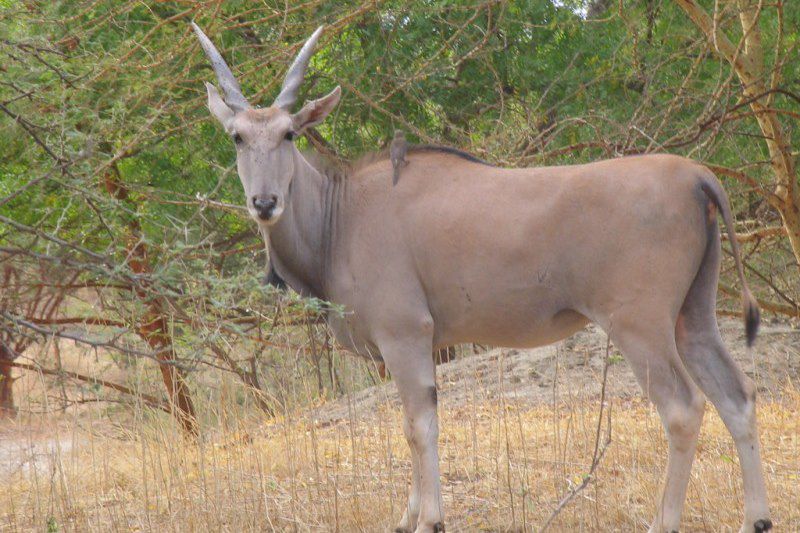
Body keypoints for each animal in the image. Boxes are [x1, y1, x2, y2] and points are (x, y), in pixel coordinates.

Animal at [191, 22, 772, 528]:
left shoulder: (405, 336)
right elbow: (414, 422)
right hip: (692, 318)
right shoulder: (420, 347)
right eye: (236, 137)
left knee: (683, 409)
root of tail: (696, 176)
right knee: (738, 396)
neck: (344, 213)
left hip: (640, 326)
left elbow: (418, 427)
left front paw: (430, 520)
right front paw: (409, 517)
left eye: (290, 133)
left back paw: (664, 522)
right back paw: (756, 519)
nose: (264, 202)